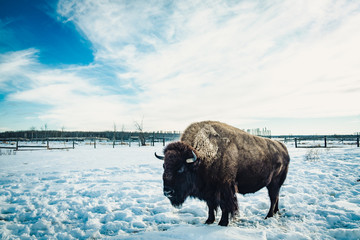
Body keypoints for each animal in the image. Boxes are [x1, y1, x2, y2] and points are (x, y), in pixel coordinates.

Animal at [155, 121, 290, 226]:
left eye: (181, 168)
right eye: (164, 166)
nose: (167, 191)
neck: (202, 158)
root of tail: (283, 148)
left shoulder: (224, 188)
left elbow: (225, 206)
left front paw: (223, 223)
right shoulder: (210, 191)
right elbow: (211, 206)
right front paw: (209, 221)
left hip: (273, 183)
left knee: (273, 198)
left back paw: (268, 216)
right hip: (274, 184)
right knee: (276, 197)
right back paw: (275, 212)